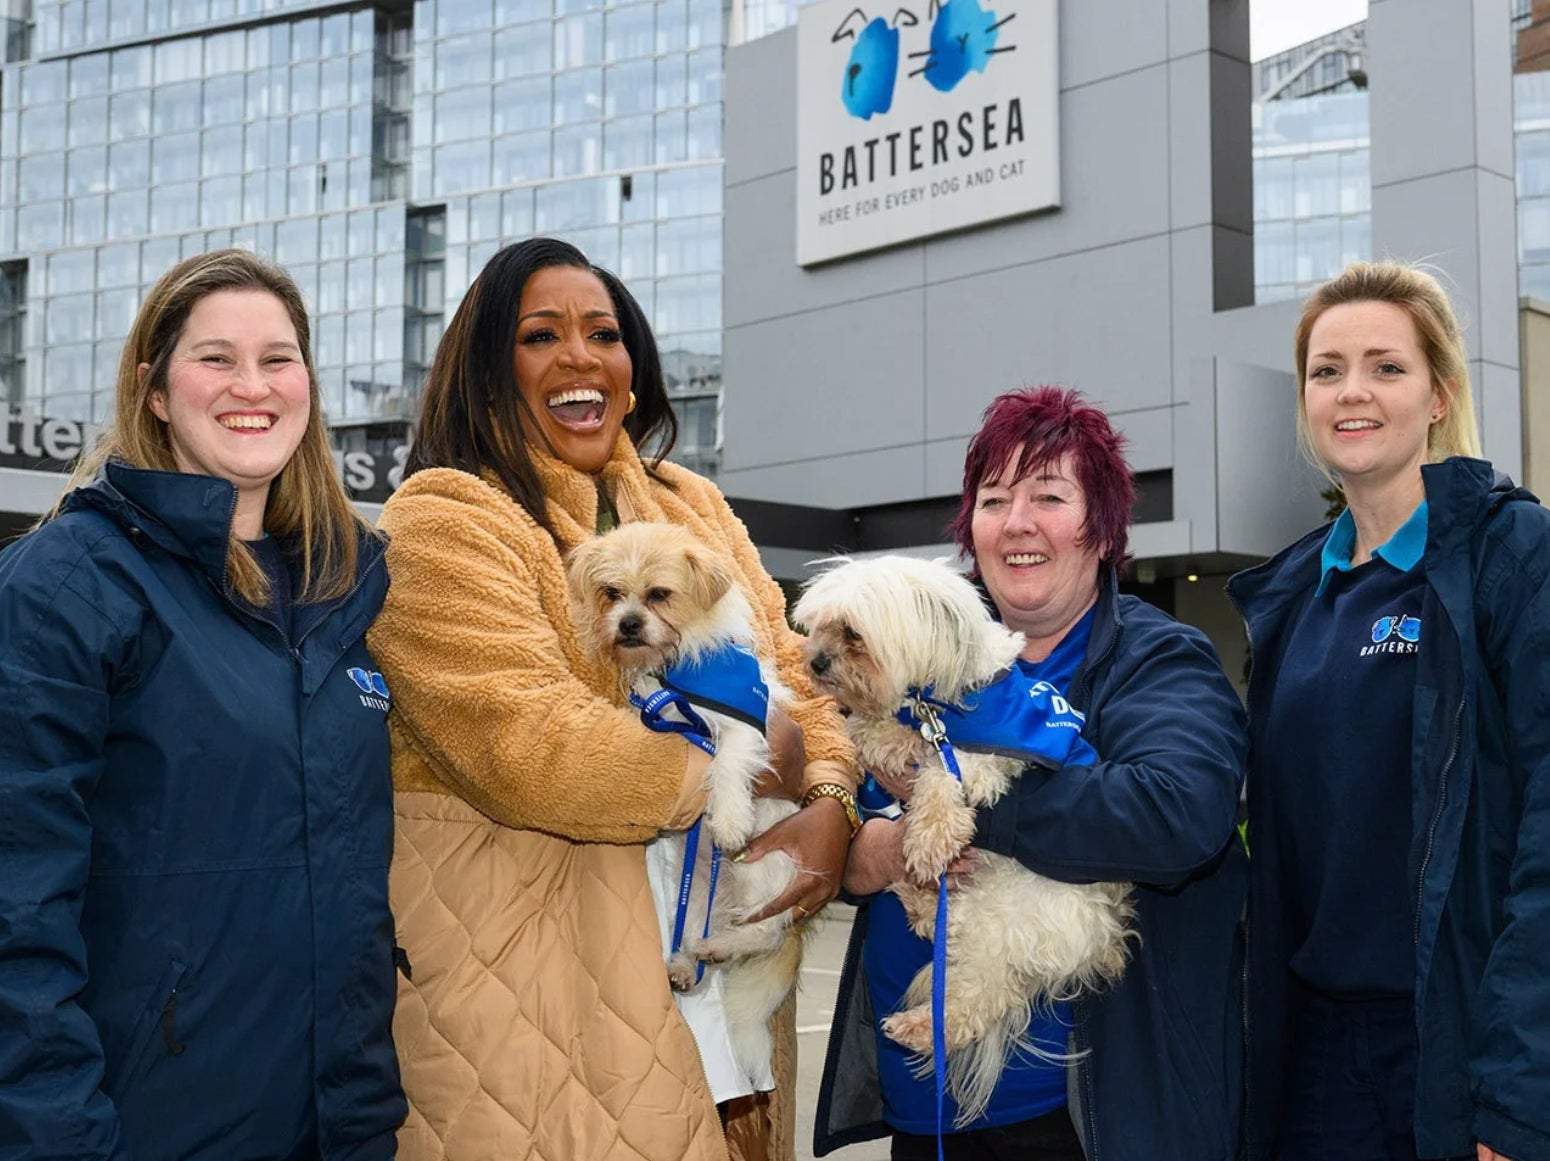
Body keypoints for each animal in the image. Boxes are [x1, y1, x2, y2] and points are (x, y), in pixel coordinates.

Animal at [570, 520, 812, 1072]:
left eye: (659, 595)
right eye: (612, 593)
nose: (628, 624)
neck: (677, 671)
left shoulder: (745, 729)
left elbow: (726, 765)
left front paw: (728, 819)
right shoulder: (657, 716)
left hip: (764, 871)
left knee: (764, 929)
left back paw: (723, 945)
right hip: (700, 890)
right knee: (699, 930)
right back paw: (688, 960)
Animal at [793, 558, 1134, 1116]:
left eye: (852, 633)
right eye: (817, 626)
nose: (816, 662)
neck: (938, 696)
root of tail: (1100, 941)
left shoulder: (988, 755)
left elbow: (942, 772)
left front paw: (930, 835)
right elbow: (886, 734)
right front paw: (873, 736)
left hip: (1002, 925)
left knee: (981, 996)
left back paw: (917, 1026)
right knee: (937, 933)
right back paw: (912, 896)